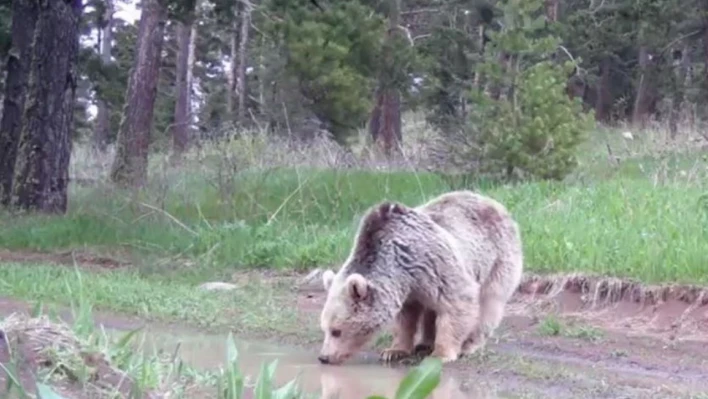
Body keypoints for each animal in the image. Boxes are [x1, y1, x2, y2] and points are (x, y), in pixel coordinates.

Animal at [318, 191, 524, 366]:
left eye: (336, 331)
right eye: (324, 327)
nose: (324, 357)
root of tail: (495, 203)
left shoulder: (433, 265)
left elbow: (458, 302)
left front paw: (441, 354)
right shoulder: (407, 287)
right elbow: (406, 318)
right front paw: (394, 351)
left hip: (497, 259)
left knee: (489, 302)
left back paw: (469, 345)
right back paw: (425, 343)